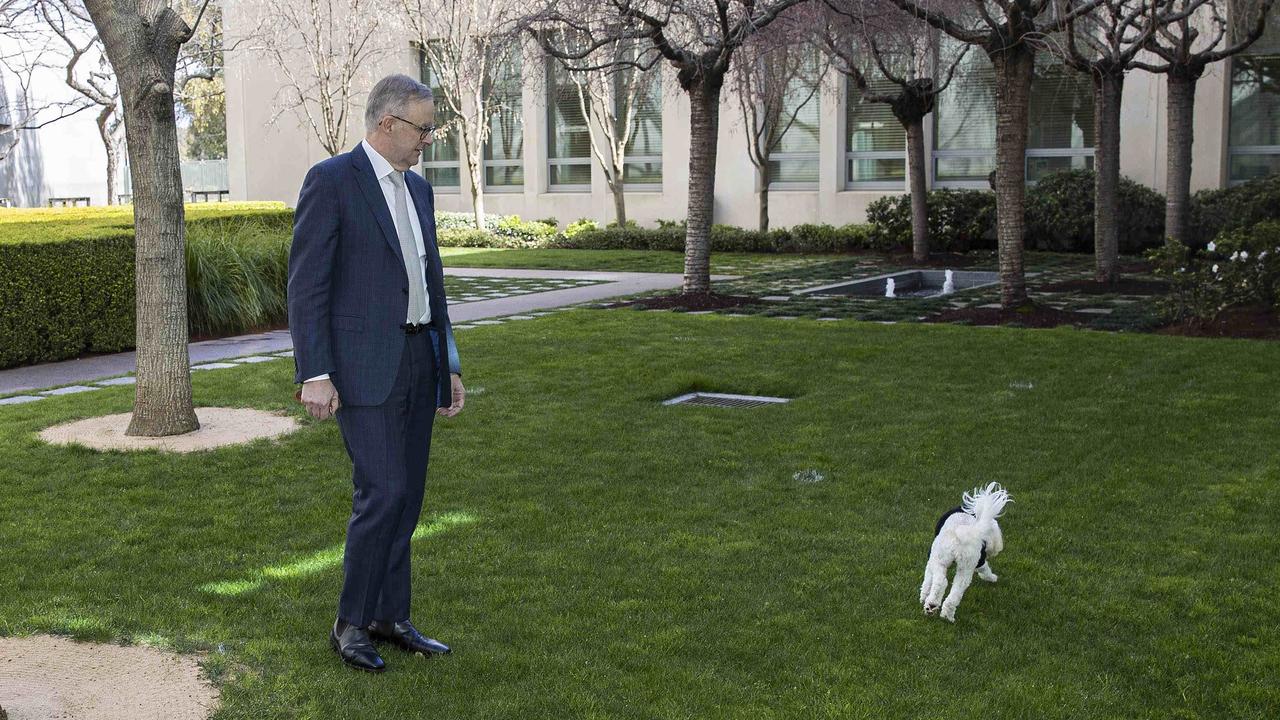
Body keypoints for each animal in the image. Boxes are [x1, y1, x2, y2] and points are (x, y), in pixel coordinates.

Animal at [921, 481, 1008, 622]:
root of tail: (961, 534)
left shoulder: (931, 560)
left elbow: (927, 580)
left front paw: (923, 596)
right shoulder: (978, 560)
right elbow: (985, 568)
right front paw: (992, 578)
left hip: (946, 561)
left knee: (941, 582)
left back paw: (933, 605)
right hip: (965, 567)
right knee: (952, 589)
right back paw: (944, 613)